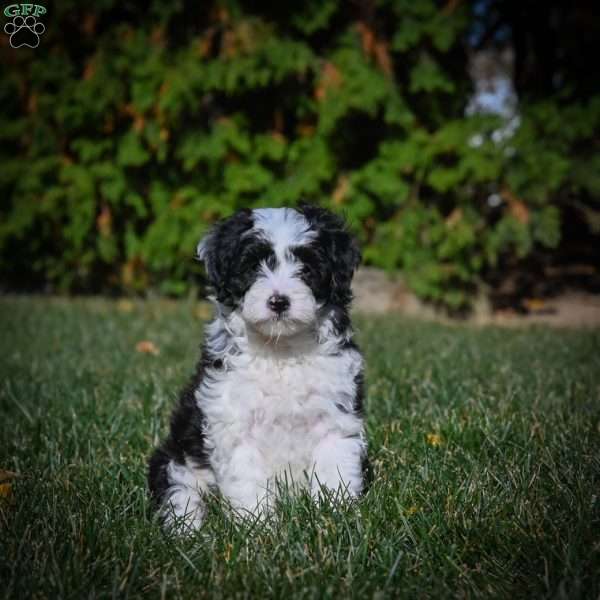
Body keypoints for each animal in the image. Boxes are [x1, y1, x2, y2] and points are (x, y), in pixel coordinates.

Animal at [148, 205, 368, 528]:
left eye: (307, 269)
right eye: (253, 267)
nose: (279, 301)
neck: (280, 349)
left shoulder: (335, 417)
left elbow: (334, 470)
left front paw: (334, 517)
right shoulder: (234, 426)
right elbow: (247, 479)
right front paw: (258, 527)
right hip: (175, 460)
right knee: (180, 496)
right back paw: (190, 533)